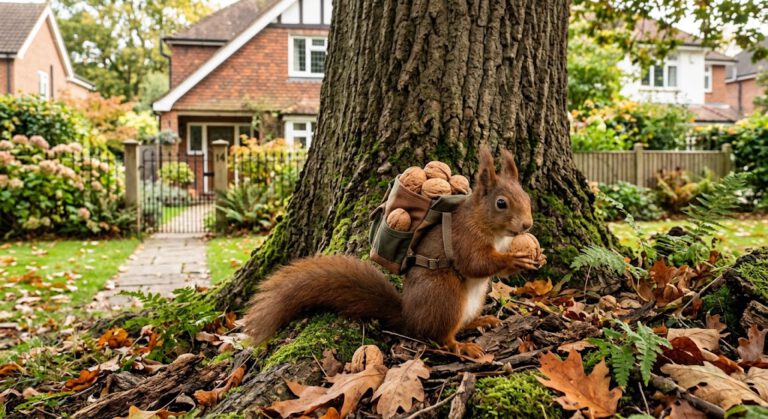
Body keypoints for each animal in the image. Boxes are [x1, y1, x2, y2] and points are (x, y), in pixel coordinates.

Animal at [243, 147, 545, 358]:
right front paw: (515, 258)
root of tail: (409, 317)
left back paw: (481, 320)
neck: (493, 230)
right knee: (439, 336)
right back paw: (460, 346)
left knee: (458, 324)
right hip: (445, 296)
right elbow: (476, 264)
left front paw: (536, 259)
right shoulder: (464, 239)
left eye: (527, 197)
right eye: (501, 203)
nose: (527, 225)